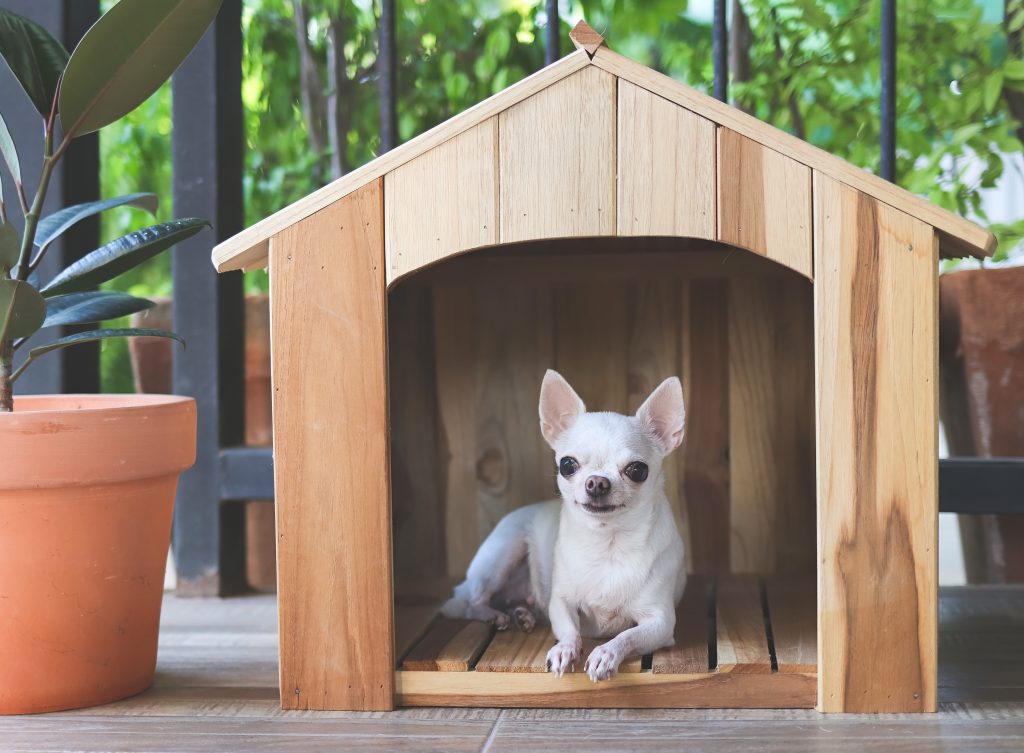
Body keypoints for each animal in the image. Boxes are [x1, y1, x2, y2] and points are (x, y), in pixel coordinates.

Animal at [442, 370, 688, 684]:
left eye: (637, 470)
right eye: (568, 465)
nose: (597, 482)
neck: (608, 542)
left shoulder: (660, 622)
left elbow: (627, 636)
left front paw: (606, 653)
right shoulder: (560, 602)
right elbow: (570, 629)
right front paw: (565, 649)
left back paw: (521, 614)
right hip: (502, 555)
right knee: (472, 602)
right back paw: (495, 615)